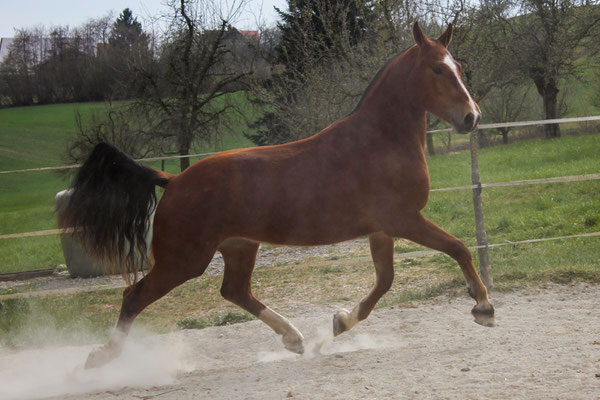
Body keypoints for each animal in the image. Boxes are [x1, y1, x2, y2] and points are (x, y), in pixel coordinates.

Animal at [59, 23, 492, 368]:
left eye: (458, 67)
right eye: (438, 68)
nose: (471, 117)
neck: (380, 141)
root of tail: (174, 179)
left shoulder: (381, 229)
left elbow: (385, 282)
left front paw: (339, 322)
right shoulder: (403, 219)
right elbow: (458, 248)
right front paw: (484, 307)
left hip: (238, 246)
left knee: (234, 290)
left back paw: (294, 338)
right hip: (183, 260)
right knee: (134, 296)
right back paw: (102, 357)